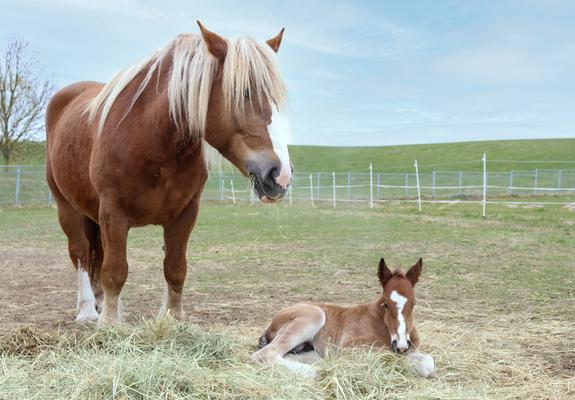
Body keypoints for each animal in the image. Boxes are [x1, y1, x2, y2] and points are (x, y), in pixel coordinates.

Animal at [45, 22, 292, 324]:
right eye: (244, 92)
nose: (280, 174)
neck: (150, 138)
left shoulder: (185, 213)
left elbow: (175, 267)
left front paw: (173, 317)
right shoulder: (113, 211)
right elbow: (115, 270)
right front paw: (111, 323)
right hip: (66, 207)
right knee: (80, 253)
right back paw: (88, 311)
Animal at [254, 260, 434, 378]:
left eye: (414, 304)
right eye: (385, 304)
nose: (401, 345)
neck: (381, 324)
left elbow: (428, 363)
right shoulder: (350, 349)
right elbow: (385, 357)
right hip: (314, 315)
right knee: (265, 353)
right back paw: (316, 372)